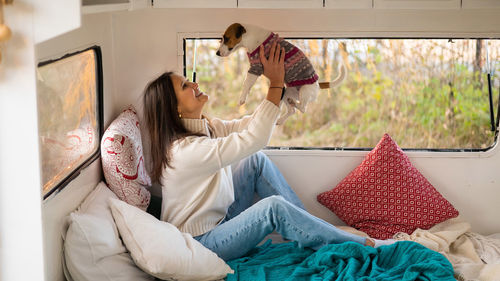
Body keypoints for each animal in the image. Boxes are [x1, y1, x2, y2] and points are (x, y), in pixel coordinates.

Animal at [217, 21, 346, 122]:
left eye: (227, 38)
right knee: (292, 111)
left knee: (303, 108)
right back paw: (281, 119)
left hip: (304, 91)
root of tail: (318, 84)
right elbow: (248, 85)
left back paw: (294, 104)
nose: (217, 53)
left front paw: (242, 98)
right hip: (286, 92)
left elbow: (246, 83)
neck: (250, 36)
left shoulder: (256, 67)